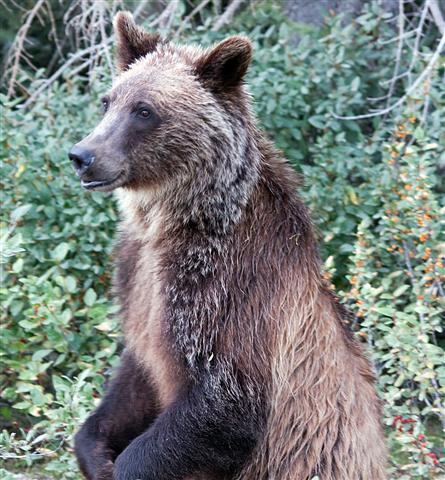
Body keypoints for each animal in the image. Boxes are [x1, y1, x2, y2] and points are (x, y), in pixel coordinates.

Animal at [69, 11, 386, 480]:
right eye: (108, 101)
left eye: (144, 110)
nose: (83, 155)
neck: (172, 222)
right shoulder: (138, 280)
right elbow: (135, 374)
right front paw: (95, 449)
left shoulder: (227, 288)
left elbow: (224, 404)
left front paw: (126, 465)